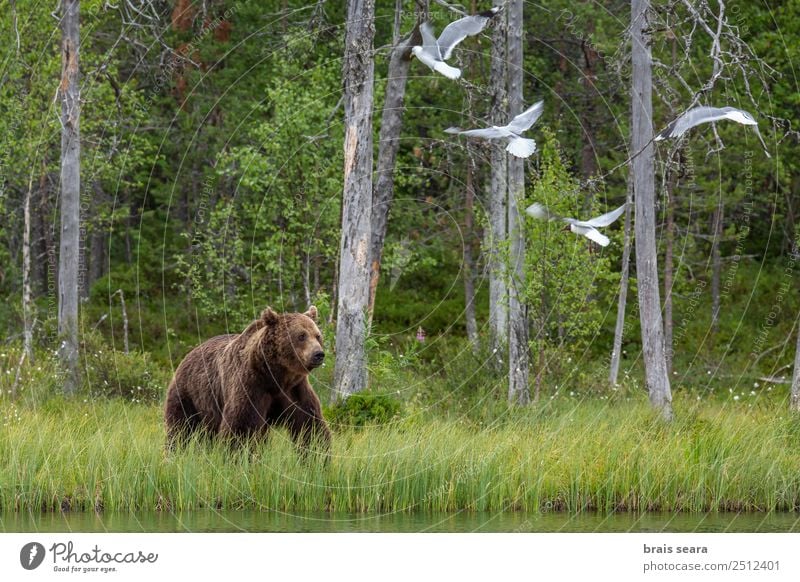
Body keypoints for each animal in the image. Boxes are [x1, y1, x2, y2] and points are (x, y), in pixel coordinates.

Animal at [165, 308, 332, 454]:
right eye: (301, 335)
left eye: (317, 335)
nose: (318, 354)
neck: (277, 376)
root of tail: (189, 354)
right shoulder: (252, 384)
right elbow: (241, 426)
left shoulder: (294, 389)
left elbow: (310, 425)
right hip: (189, 394)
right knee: (179, 428)